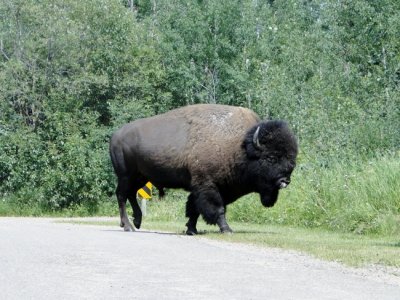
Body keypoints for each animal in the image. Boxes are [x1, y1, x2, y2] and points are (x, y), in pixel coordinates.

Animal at [109, 103, 296, 234]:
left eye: (291, 160)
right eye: (271, 158)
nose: (284, 180)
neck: (239, 145)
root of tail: (116, 135)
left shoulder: (210, 187)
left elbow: (194, 209)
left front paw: (191, 230)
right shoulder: (207, 185)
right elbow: (216, 208)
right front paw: (227, 229)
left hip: (140, 177)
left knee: (131, 194)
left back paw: (137, 222)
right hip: (125, 175)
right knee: (122, 195)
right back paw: (128, 226)